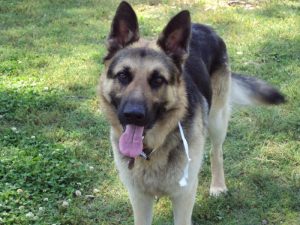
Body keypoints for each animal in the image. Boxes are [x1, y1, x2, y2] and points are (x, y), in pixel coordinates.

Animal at [99, 1, 286, 223]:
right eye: (123, 76)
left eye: (158, 80)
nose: (133, 115)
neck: (153, 149)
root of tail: (204, 27)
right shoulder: (139, 199)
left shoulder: (184, 196)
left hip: (217, 120)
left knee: (216, 152)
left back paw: (218, 186)